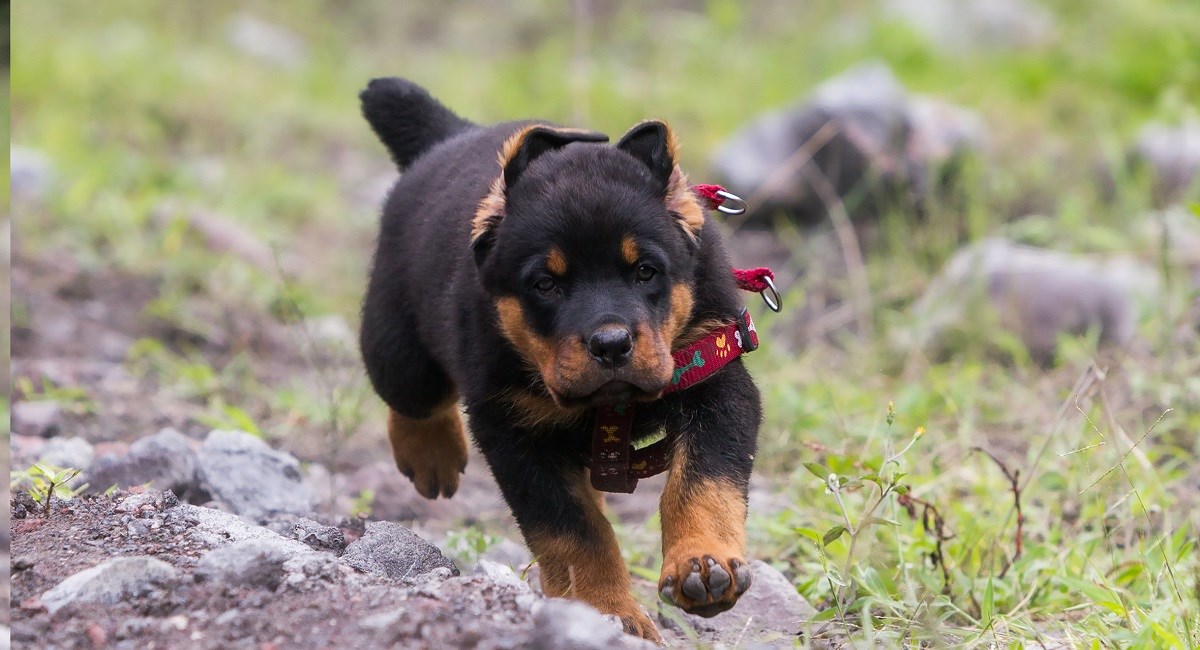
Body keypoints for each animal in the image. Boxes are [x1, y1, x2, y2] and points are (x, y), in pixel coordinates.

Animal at [355, 79, 758, 642]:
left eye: (646, 271)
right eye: (546, 284)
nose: (611, 343)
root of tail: (452, 136)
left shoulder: (716, 376)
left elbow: (704, 482)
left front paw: (702, 565)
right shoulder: (513, 429)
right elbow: (574, 530)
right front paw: (608, 610)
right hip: (397, 344)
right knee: (412, 396)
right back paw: (432, 456)